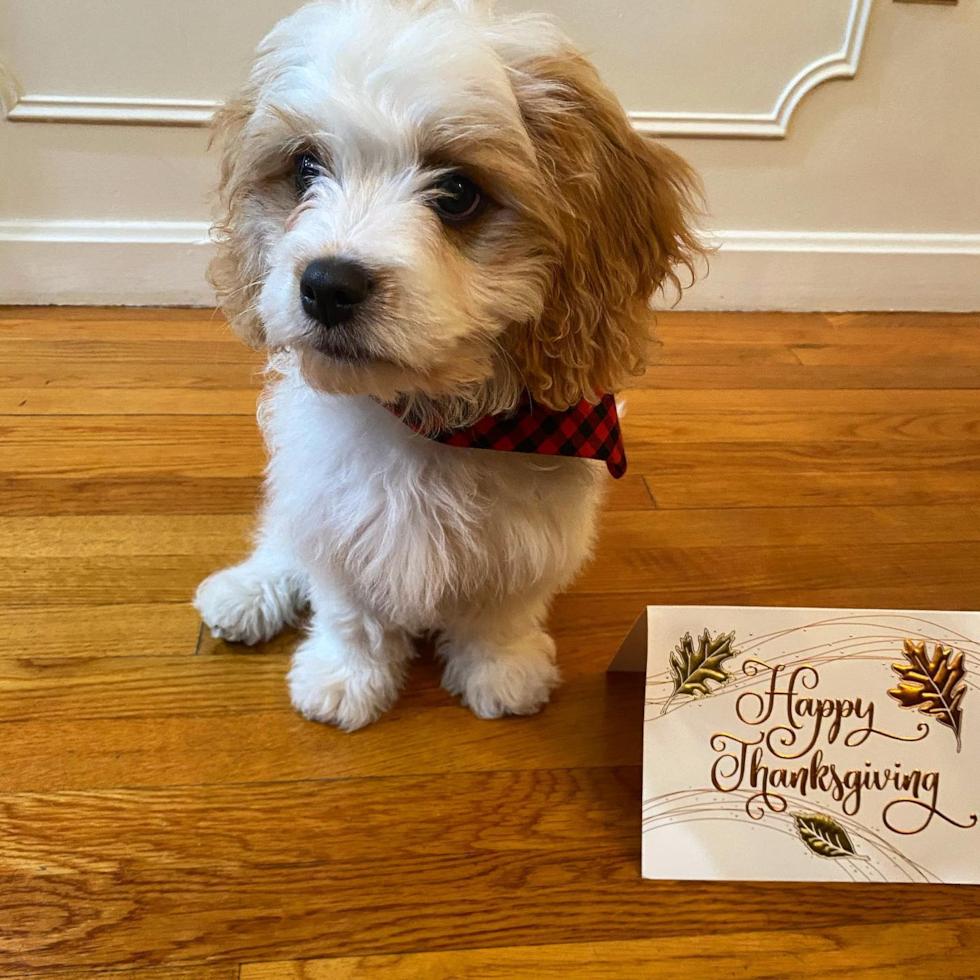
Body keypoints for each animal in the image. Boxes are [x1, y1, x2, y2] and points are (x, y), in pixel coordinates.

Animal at [195, 0, 700, 728]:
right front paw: (345, 678)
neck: (434, 420)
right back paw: (248, 589)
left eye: (458, 191)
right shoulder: (338, 512)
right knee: (285, 539)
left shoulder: (530, 541)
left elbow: (502, 611)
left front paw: (502, 671)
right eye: (306, 169)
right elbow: (349, 609)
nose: (327, 284)